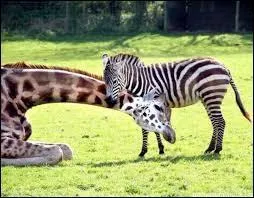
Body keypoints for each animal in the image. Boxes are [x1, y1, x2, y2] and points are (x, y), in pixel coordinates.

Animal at [0, 62, 173, 166]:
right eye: (159, 108)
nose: (172, 135)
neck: (20, 97)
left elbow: (65, 149)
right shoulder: (3, 139)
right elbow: (57, 152)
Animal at [102, 53, 251, 155]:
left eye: (114, 81)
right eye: (104, 80)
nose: (109, 101)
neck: (141, 82)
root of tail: (223, 66)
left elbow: (148, 128)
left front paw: (145, 151)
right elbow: (153, 127)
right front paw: (160, 148)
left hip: (212, 95)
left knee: (220, 121)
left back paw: (217, 149)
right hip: (207, 98)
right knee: (215, 122)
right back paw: (210, 148)